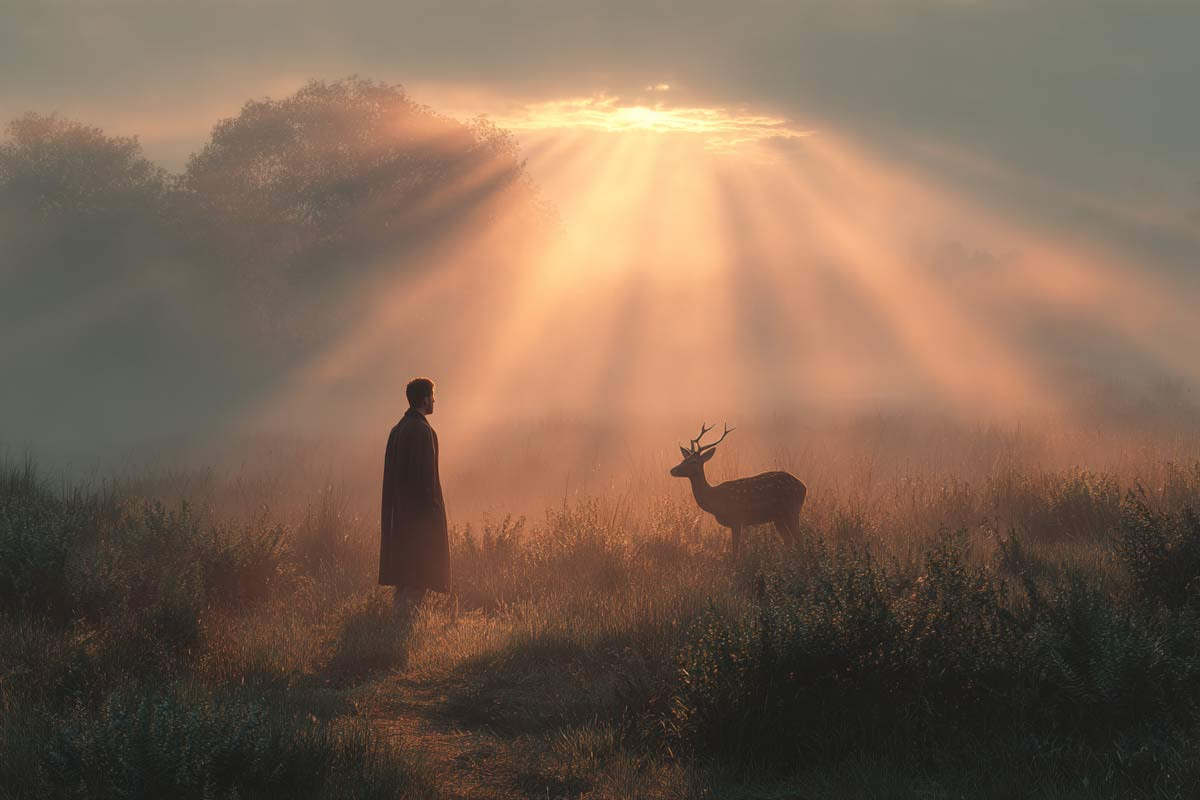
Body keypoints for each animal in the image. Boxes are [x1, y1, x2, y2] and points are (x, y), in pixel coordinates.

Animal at [669, 422, 807, 556]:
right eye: (683, 459)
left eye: (693, 461)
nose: (672, 470)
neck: (715, 500)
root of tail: (803, 486)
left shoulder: (736, 518)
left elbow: (735, 552)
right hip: (778, 517)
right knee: (789, 540)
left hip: (792, 509)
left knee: (800, 539)